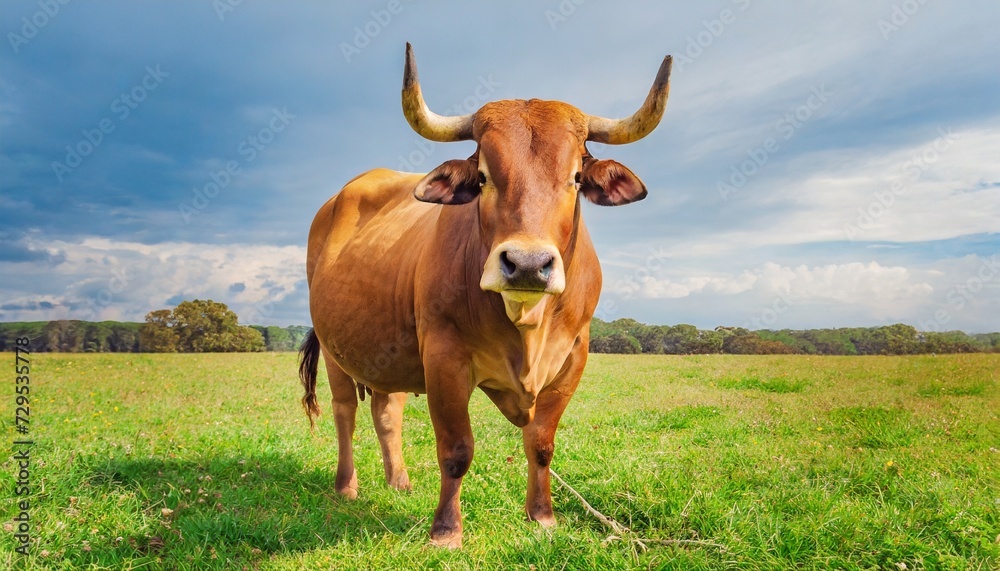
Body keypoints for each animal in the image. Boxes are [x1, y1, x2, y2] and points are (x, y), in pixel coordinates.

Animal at [296, 42, 672, 548]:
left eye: (576, 178)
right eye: (484, 177)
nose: (528, 263)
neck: (527, 325)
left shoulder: (574, 355)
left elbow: (541, 443)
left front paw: (543, 517)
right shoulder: (443, 355)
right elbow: (457, 449)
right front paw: (445, 530)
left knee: (386, 410)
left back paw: (400, 482)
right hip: (336, 349)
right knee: (344, 413)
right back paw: (347, 486)